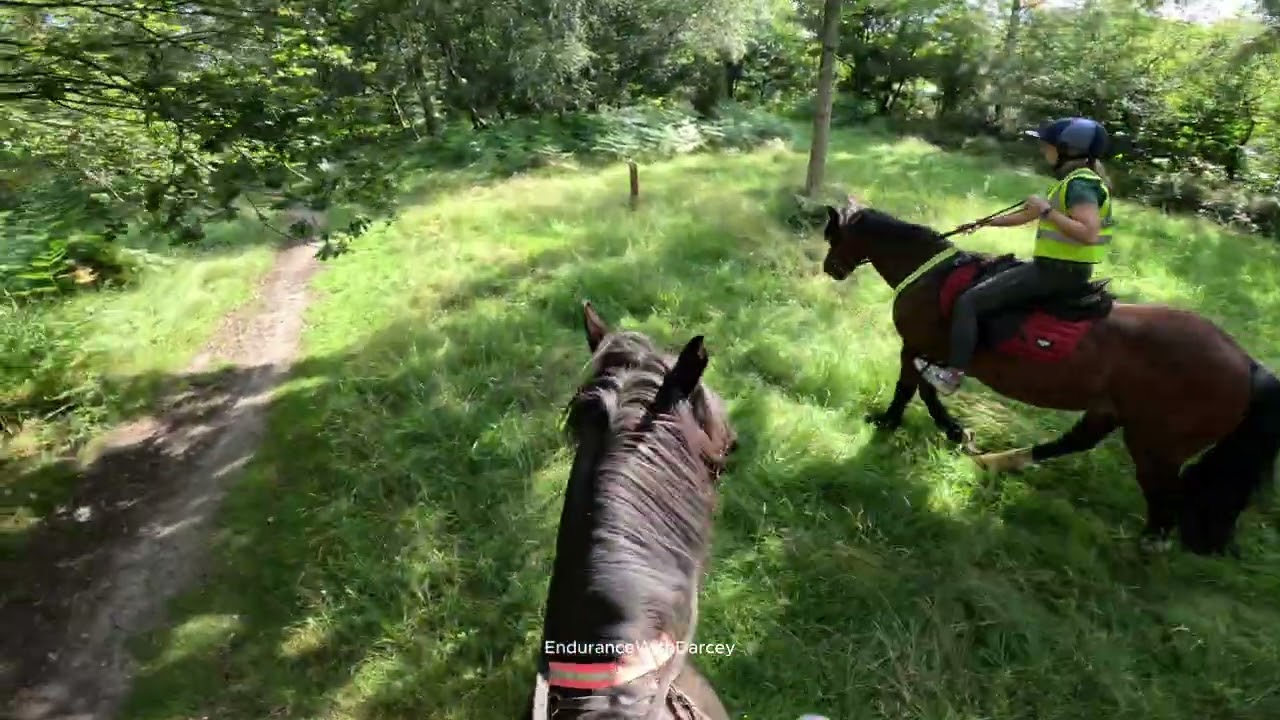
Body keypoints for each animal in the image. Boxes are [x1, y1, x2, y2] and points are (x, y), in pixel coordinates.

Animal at [820, 198, 1280, 555]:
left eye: (833, 237)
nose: (830, 269)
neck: (931, 275)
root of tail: (1247, 365)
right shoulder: (926, 350)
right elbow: (923, 391)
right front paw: (957, 433)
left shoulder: (919, 347)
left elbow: (914, 389)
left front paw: (893, 423)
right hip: (1114, 412)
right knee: (1077, 443)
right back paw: (999, 461)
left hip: (1156, 444)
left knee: (1163, 498)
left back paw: (1146, 545)